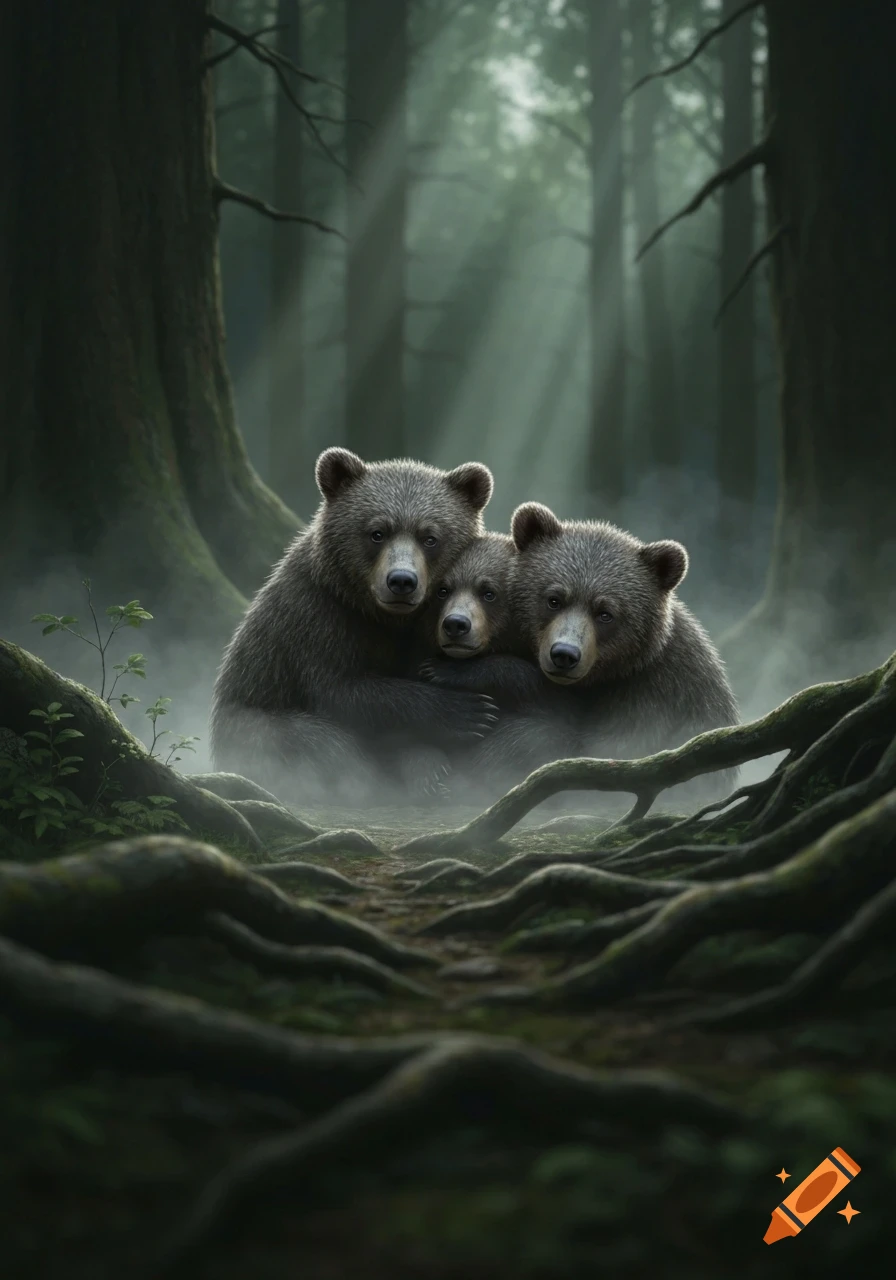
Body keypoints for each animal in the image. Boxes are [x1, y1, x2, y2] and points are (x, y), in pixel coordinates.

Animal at [208, 447, 500, 808]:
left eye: (430, 537)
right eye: (377, 532)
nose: (401, 581)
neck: (381, 618)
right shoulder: (319, 618)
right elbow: (342, 692)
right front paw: (469, 712)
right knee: (314, 740)